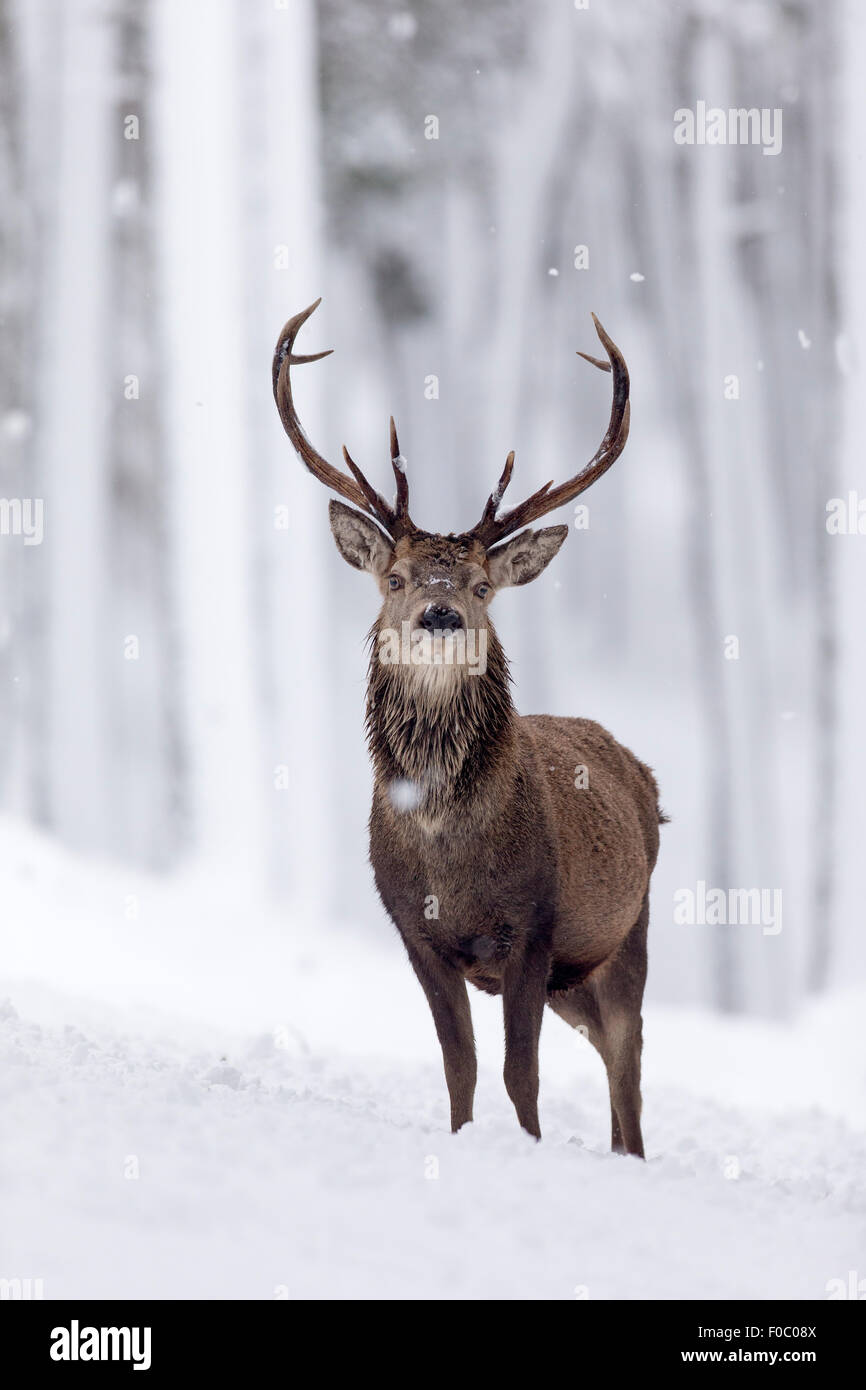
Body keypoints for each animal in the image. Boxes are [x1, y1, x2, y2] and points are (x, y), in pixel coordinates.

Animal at [273, 298, 667, 1156]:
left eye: (483, 586)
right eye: (395, 577)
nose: (442, 611)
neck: (446, 851)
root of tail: (646, 776)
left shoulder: (534, 926)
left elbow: (522, 1075)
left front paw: (528, 1149)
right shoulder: (413, 931)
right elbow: (461, 1069)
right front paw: (462, 1138)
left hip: (625, 935)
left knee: (628, 1066)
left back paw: (629, 1153)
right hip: (573, 981)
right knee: (609, 1055)